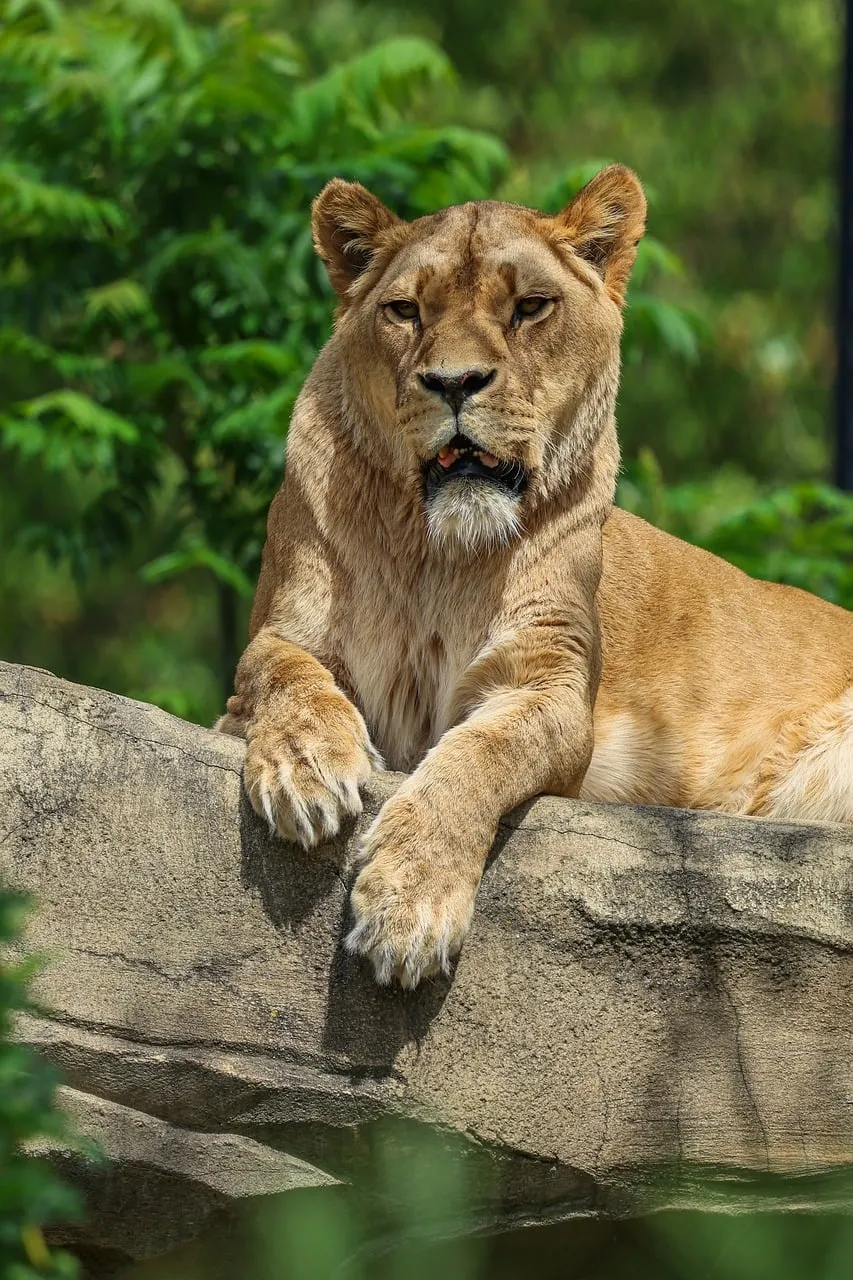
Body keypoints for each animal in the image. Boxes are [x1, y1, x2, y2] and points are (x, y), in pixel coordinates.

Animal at [219, 167, 853, 989]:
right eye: (405, 311)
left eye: (528, 307)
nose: (453, 382)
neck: (437, 558)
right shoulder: (278, 644)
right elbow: (283, 674)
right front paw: (305, 769)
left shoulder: (550, 682)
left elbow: (476, 756)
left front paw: (408, 907)